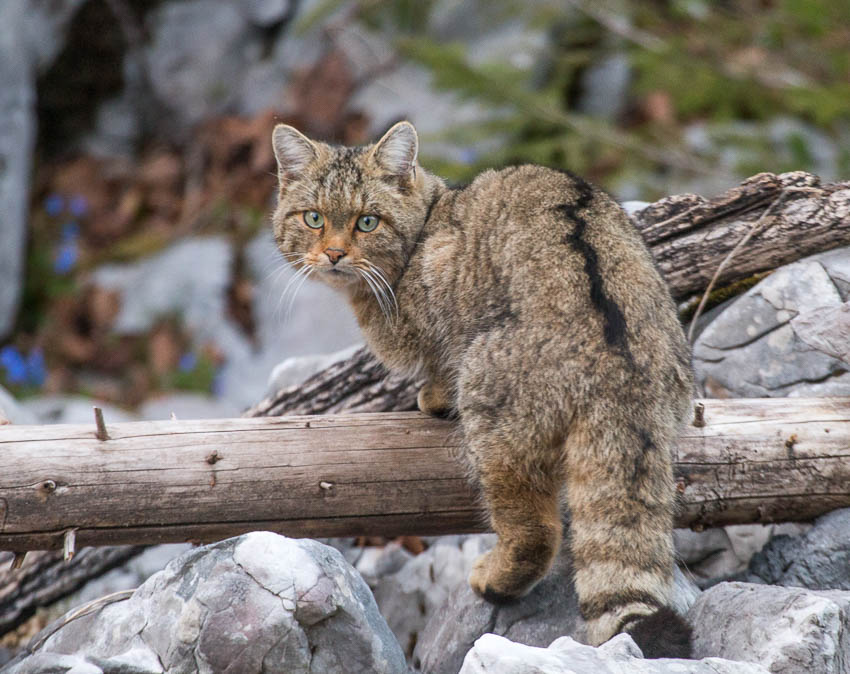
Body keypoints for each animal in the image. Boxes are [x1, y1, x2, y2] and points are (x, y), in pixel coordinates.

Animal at [268, 121, 692, 656]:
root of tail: (617, 365)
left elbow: (436, 362)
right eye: (314, 218)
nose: (334, 254)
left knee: (536, 532)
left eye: (367, 222)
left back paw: (496, 578)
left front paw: (432, 395)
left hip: (495, 419)